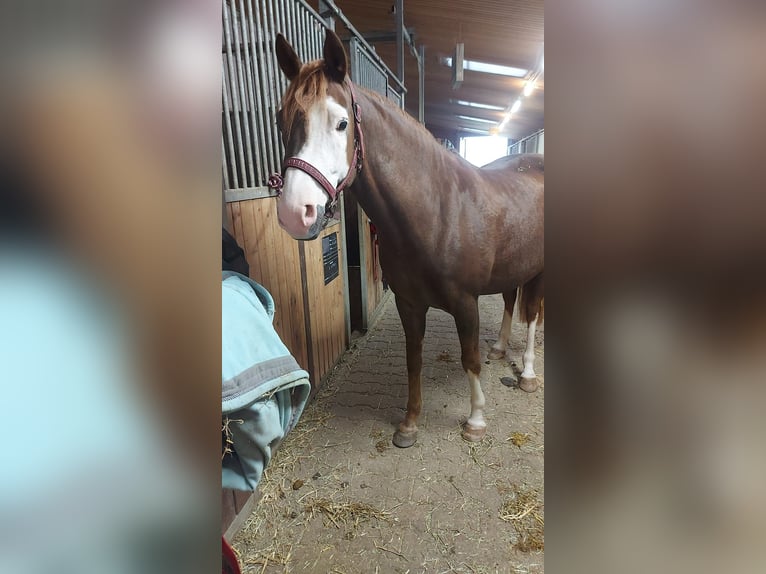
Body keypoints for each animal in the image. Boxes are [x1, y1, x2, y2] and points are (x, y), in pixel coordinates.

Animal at [272, 30, 544, 450]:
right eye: (280, 120)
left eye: (341, 123)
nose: (293, 212)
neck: (436, 213)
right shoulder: (409, 303)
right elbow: (412, 359)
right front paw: (409, 424)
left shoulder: (465, 304)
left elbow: (470, 359)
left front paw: (476, 421)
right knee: (512, 302)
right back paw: (500, 348)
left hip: (539, 271)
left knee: (531, 316)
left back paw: (528, 374)